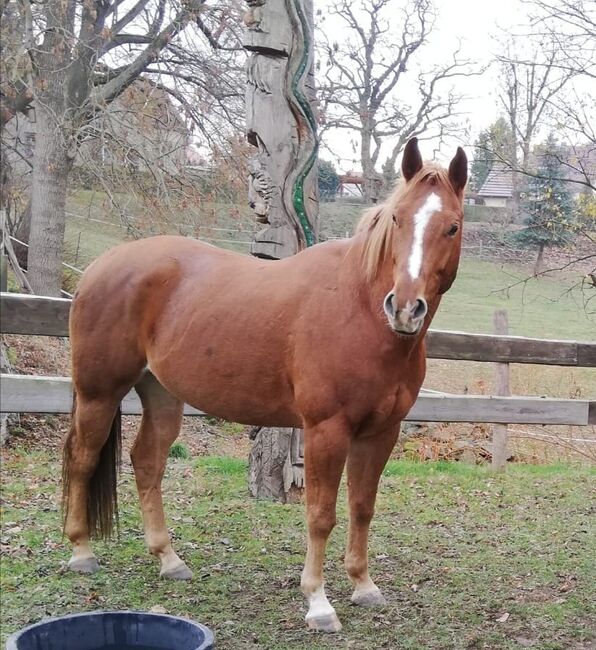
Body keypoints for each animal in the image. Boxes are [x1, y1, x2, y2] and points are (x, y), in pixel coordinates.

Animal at [62, 139, 468, 632]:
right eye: (397, 219)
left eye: (451, 226)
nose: (405, 308)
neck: (361, 312)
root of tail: (101, 267)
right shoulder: (325, 430)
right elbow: (320, 515)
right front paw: (318, 603)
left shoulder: (380, 432)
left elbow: (362, 506)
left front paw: (364, 586)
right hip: (98, 393)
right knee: (82, 458)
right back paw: (82, 552)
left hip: (161, 394)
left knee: (147, 463)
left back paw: (169, 560)